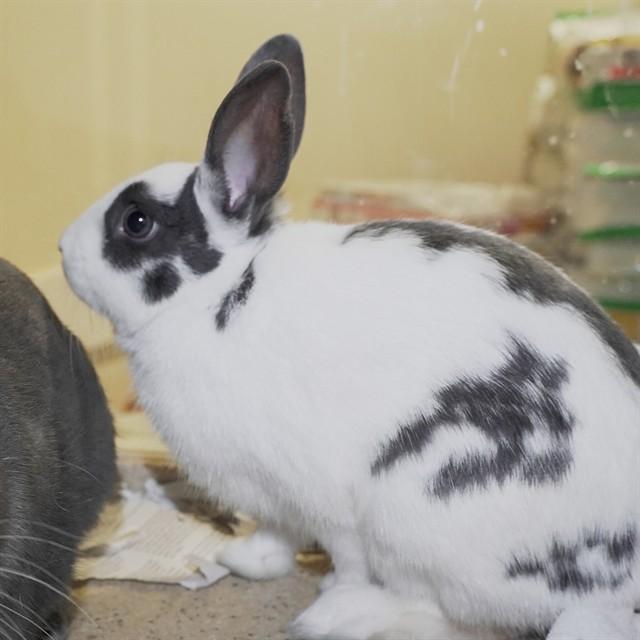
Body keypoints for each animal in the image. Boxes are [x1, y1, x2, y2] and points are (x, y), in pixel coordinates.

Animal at [59, 34, 640, 640]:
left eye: (137, 221)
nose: (61, 248)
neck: (217, 295)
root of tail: (618, 588)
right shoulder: (271, 497)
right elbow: (277, 534)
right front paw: (244, 560)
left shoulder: (325, 499)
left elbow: (346, 554)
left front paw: (335, 589)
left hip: (419, 514)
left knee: (446, 612)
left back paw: (345, 614)